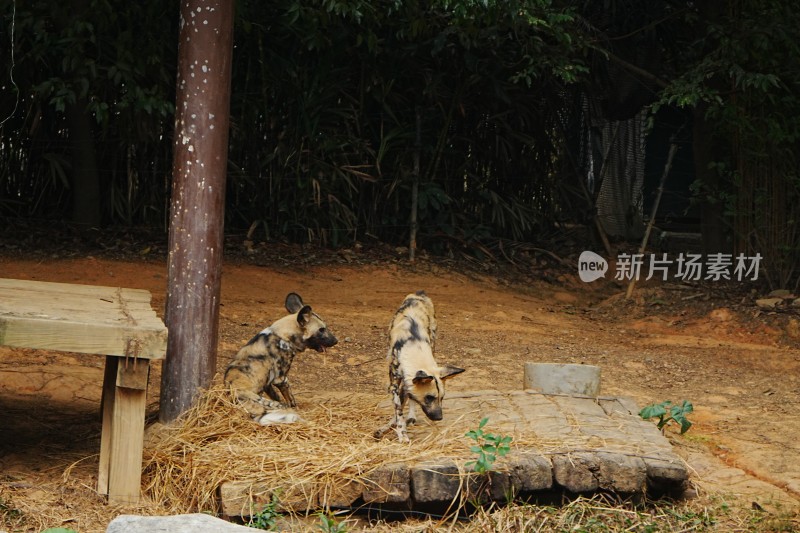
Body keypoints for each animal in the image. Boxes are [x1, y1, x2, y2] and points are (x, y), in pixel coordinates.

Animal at [225, 290, 338, 424]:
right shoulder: (281, 379)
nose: (336, 341)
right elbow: (291, 400)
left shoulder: (267, 384)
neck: (283, 335)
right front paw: (296, 407)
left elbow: (277, 396)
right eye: (321, 330)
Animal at [376, 290, 466, 440]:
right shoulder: (395, 384)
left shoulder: (407, 381)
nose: (439, 417)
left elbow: (405, 402)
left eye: (442, 397)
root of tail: (419, 294)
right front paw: (400, 432)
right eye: (429, 397)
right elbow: (398, 410)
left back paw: (411, 416)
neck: (414, 345)